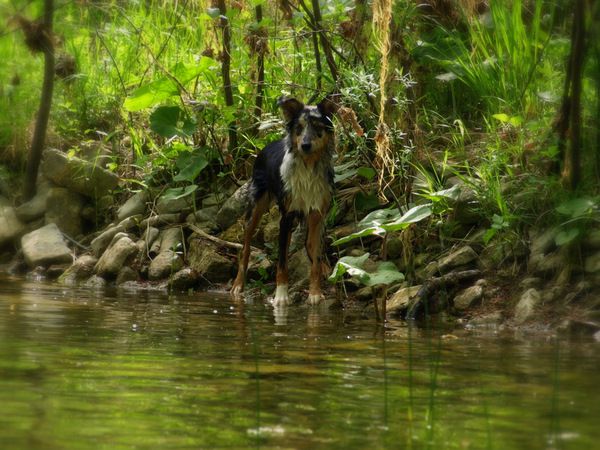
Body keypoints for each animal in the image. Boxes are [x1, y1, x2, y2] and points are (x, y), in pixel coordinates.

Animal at [232, 95, 340, 306]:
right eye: (299, 127)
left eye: (318, 126)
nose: (305, 145)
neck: (308, 166)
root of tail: (265, 146)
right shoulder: (286, 217)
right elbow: (282, 261)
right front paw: (281, 296)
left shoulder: (317, 213)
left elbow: (314, 258)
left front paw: (315, 292)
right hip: (256, 208)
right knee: (245, 248)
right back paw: (238, 285)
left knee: (309, 245)